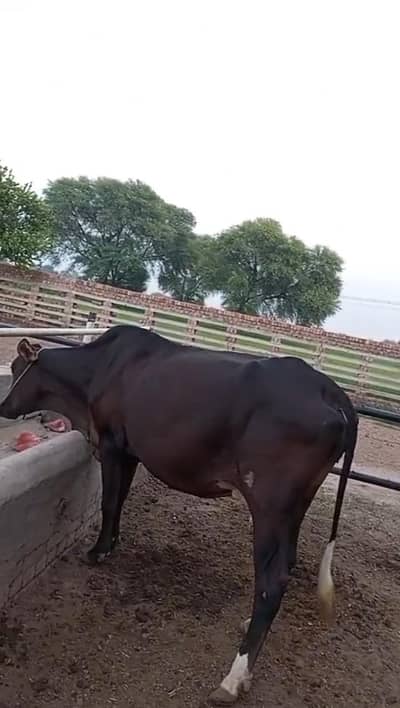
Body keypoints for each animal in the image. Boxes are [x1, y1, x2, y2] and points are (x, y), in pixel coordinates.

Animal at [0, 325, 358, 705]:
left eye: (16, 365)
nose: (3, 406)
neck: (97, 371)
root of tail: (329, 388)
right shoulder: (130, 451)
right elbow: (120, 498)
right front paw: (111, 543)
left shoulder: (112, 443)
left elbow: (109, 501)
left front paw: (97, 551)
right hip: (294, 508)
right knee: (286, 564)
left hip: (269, 506)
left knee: (272, 580)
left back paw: (233, 678)